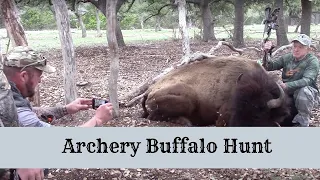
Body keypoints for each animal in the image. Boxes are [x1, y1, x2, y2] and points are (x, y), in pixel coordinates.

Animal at [141, 55, 296, 127]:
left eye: (258, 115)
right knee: (154, 116)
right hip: (188, 99)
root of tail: (149, 91)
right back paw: (185, 121)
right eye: (236, 108)